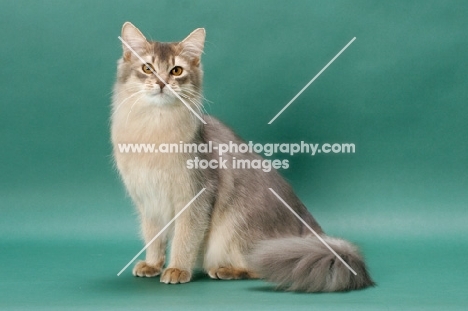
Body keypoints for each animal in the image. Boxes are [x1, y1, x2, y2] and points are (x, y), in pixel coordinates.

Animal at [111, 22, 374, 292]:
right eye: (147, 68)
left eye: (176, 70)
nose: (162, 83)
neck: (154, 129)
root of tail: (306, 222)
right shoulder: (148, 202)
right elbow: (154, 238)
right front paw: (153, 265)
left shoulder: (195, 196)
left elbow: (185, 238)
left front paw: (177, 269)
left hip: (237, 230)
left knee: (261, 264)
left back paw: (226, 270)